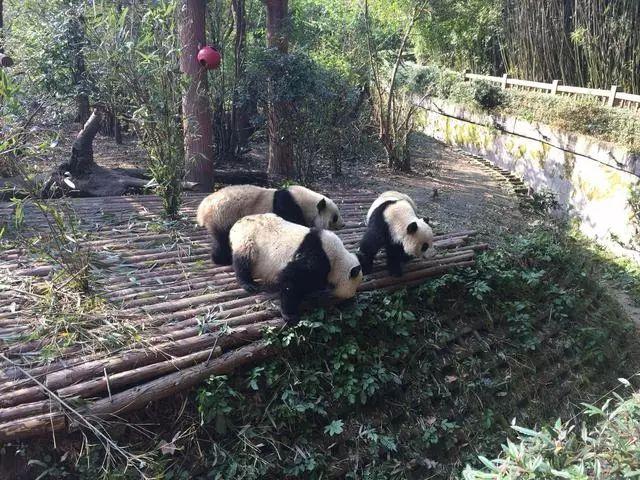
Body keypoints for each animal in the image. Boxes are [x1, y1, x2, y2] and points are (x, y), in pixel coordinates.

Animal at [195, 185, 344, 266]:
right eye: (335, 217)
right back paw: (221, 259)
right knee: (222, 240)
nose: (343, 224)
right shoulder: (288, 206)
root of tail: (203, 208)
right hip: (222, 216)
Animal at [230, 215, 362, 324]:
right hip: (249, 240)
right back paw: (248, 284)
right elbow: (292, 280)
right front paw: (290, 315)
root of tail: (236, 224)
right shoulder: (317, 258)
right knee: (243, 260)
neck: (337, 259)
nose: (349, 303)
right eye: (342, 299)